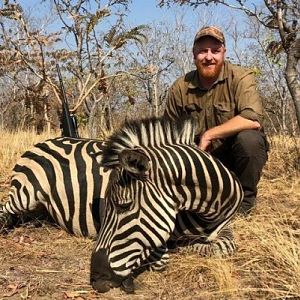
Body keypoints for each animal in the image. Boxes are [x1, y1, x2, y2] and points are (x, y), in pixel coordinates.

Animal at [89, 116, 244, 292]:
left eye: (124, 206)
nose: (96, 278)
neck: (207, 213)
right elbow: (160, 257)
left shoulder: (226, 225)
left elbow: (222, 247)